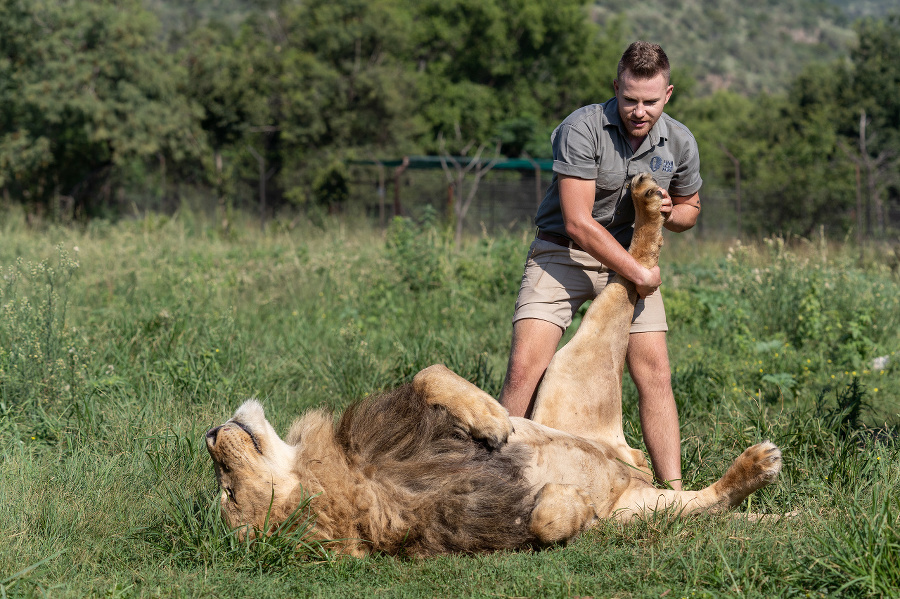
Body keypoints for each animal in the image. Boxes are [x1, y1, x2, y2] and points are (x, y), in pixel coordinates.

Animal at [204, 173, 780, 556]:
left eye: (225, 487)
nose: (209, 435)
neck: (350, 474)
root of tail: (630, 459)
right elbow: (547, 519)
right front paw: (569, 503)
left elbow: (429, 372)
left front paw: (494, 421)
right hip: (640, 505)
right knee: (707, 503)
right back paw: (757, 465)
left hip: (569, 380)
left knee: (632, 274)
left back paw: (645, 199)